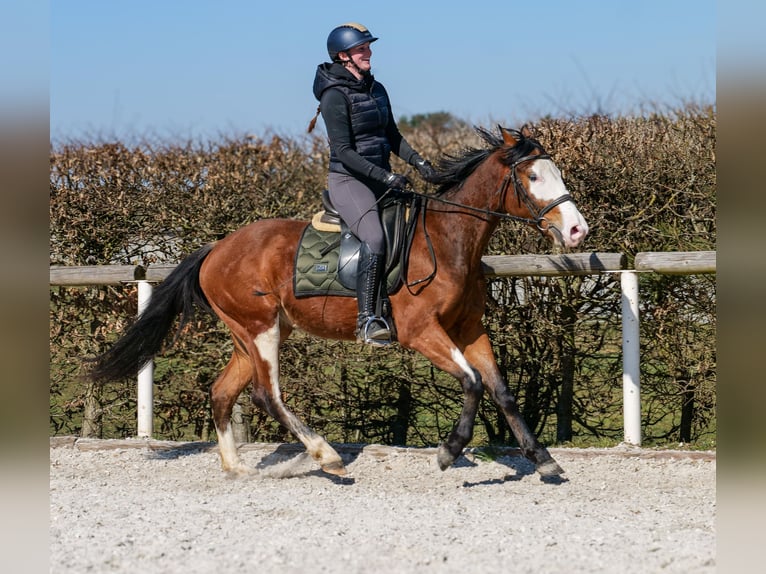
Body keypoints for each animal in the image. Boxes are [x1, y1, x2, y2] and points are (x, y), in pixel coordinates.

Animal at [91, 127, 592, 482]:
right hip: (260, 329)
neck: (449, 240)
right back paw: (326, 456)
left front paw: (544, 460)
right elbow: (471, 382)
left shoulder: (469, 329)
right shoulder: (421, 332)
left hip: (251, 333)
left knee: (222, 392)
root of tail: (216, 248)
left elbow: (500, 390)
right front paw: (449, 452)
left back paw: (236, 467)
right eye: (532, 177)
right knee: (266, 394)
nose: (577, 231)